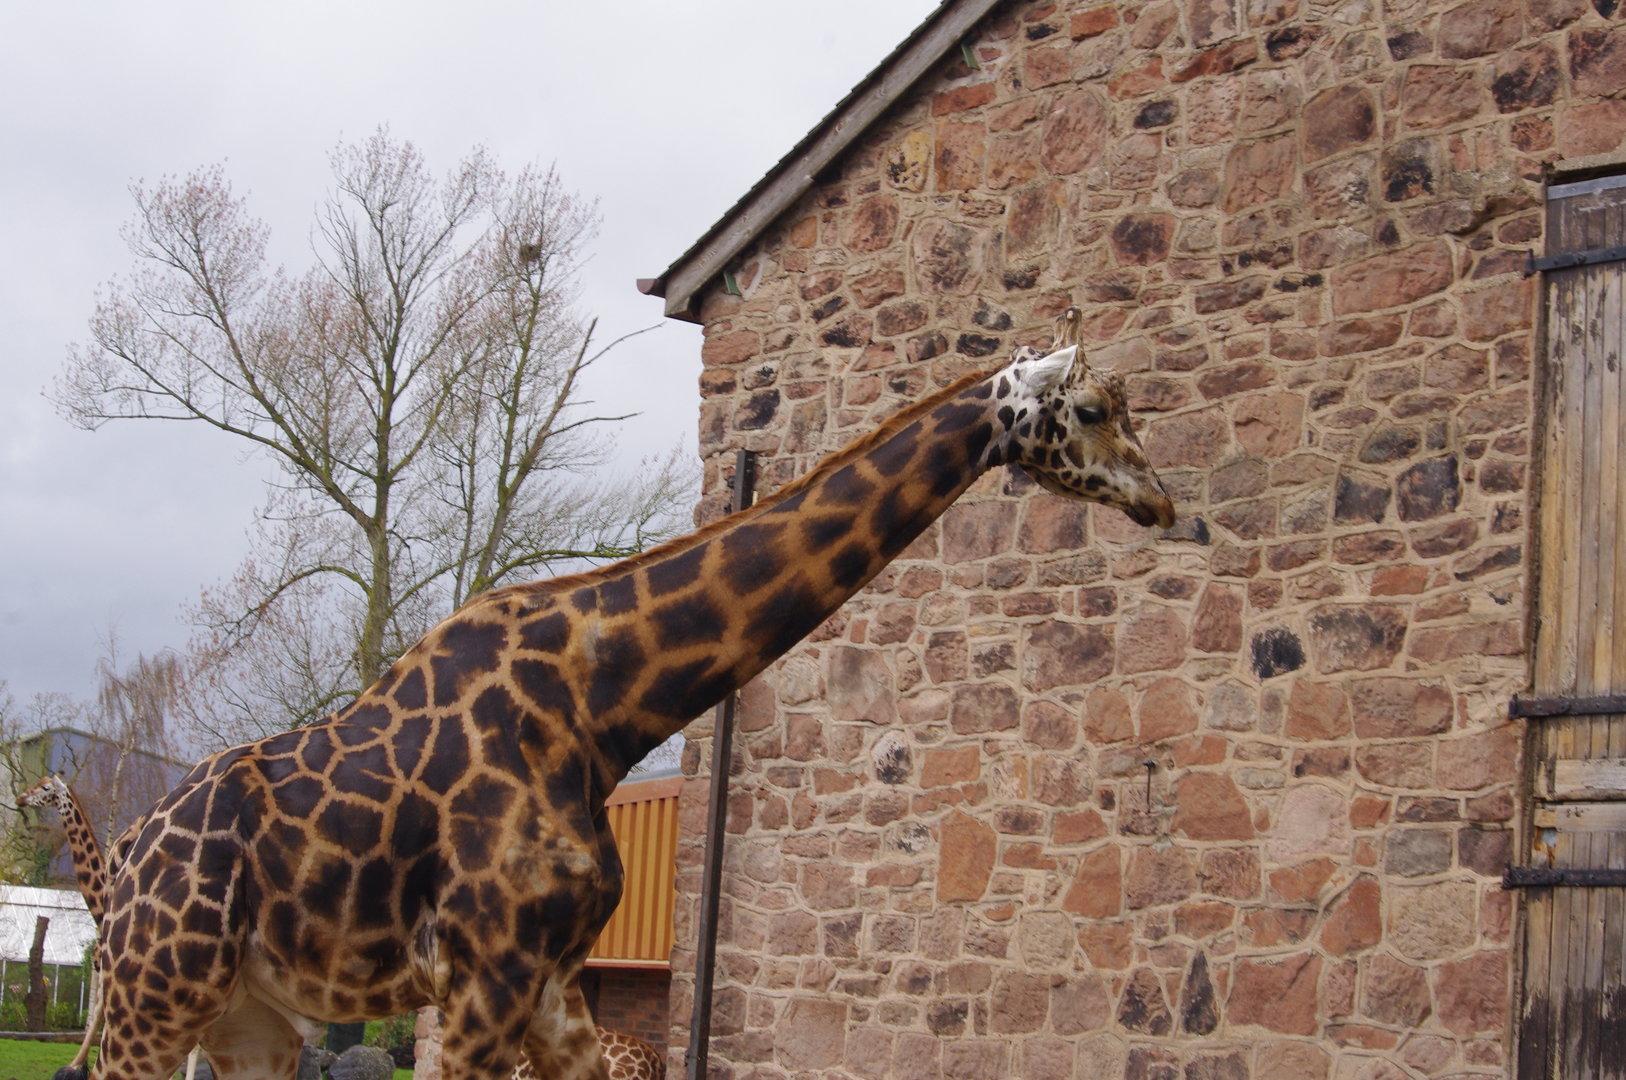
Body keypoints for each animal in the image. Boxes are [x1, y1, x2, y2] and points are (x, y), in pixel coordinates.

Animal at [87, 311, 1175, 1080]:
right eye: (1091, 410)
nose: (1162, 499)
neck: (600, 708)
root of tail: (126, 855)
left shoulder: (556, 983)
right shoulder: (484, 978)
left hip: (249, 1020)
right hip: (154, 997)